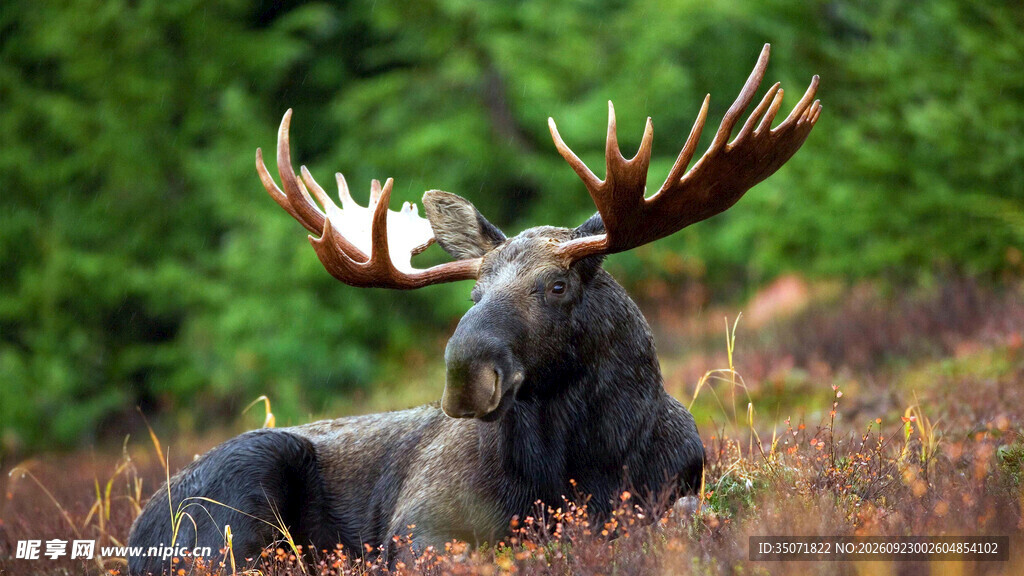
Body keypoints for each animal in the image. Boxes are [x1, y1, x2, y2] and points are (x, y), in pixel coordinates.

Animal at [127, 44, 820, 575]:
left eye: (557, 286)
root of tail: (135, 533)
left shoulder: (675, 492)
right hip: (238, 492)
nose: (465, 374)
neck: (582, 463)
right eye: (473, 294)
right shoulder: (420, 526)